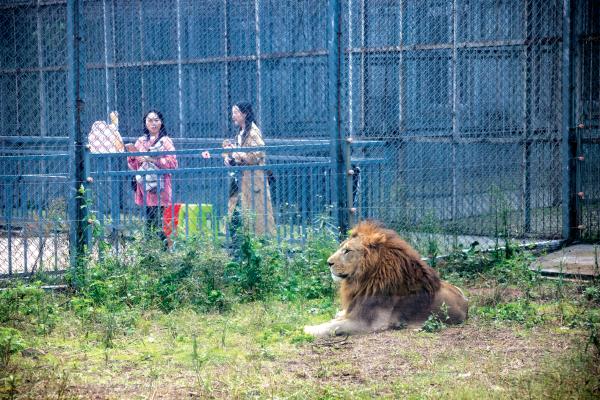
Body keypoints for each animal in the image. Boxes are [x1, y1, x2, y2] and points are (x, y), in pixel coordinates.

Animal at [304, 220, 468, 336]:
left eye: (347, 251)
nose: (328, 262)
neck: (364, 280)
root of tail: (466, 304)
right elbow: (335, 321)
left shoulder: (367, 323)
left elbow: (333, 326)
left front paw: (307, 329)